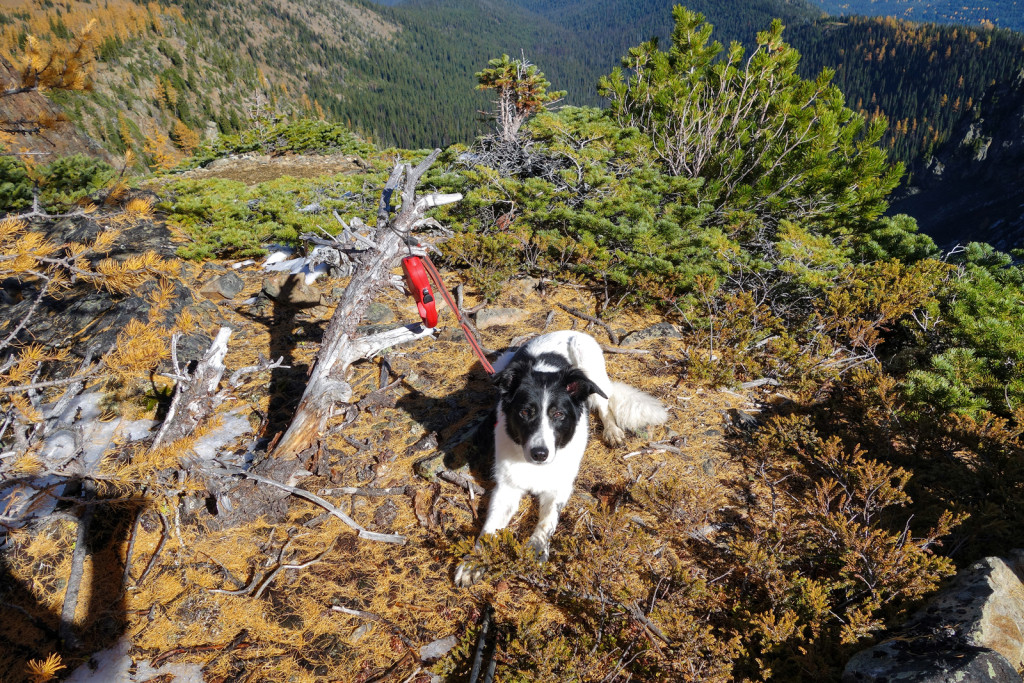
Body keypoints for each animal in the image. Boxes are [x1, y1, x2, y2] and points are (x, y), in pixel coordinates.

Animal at [454, 331, 663, 589]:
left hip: (588, 363)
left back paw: (612, 431)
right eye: (525, 412)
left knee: (604, 404)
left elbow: (546, 520)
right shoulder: (506, 489)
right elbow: (489, 529)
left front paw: (536, 548)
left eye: (558, 414)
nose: (540, 454)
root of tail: (565, 331)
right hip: (503, 361)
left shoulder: (559, 488)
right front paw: (474, 561)